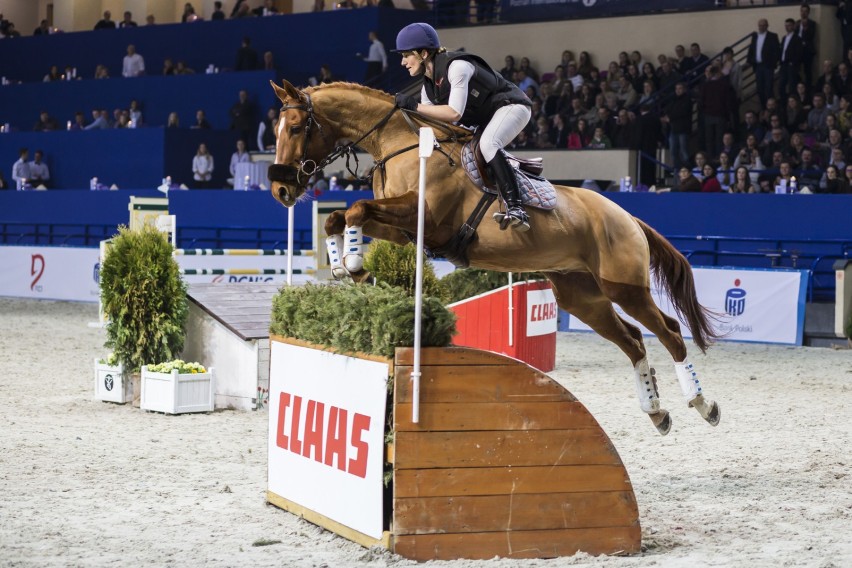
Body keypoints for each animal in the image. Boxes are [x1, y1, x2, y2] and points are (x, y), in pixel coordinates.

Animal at [266, 79, 720, 434]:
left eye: (296, 126)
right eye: (275, 129)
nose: (280, 191)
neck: (399, 144)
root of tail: (626, 215)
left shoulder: (425, 218)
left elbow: (357, 209)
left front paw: (355, 264)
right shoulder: (402, 228)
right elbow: (341, 216)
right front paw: (343, 263)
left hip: (623, 286)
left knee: (669, 331)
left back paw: (703, 404)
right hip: (583, 296)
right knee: (633, 340)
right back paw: (656, 411)